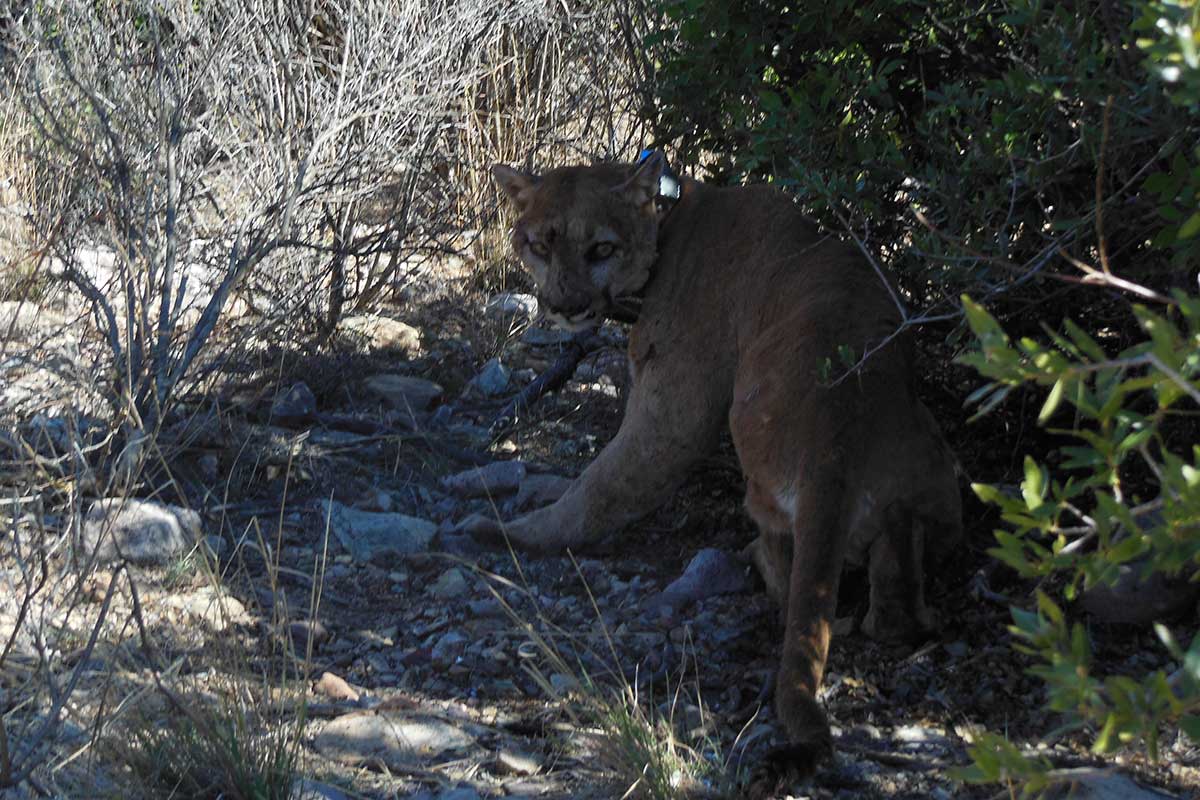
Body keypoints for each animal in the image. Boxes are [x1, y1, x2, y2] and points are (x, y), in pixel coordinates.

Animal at [482, 153, 960, 772]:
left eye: (601, 248)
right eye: (540, 243)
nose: (566, 309)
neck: (671, 216)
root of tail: (839, 427)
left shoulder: (674, 410)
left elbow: (607, 481)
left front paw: (516, 530)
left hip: (751, 435)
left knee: (786, 567)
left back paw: (753, 556)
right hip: (932, 475)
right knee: (894, 614)